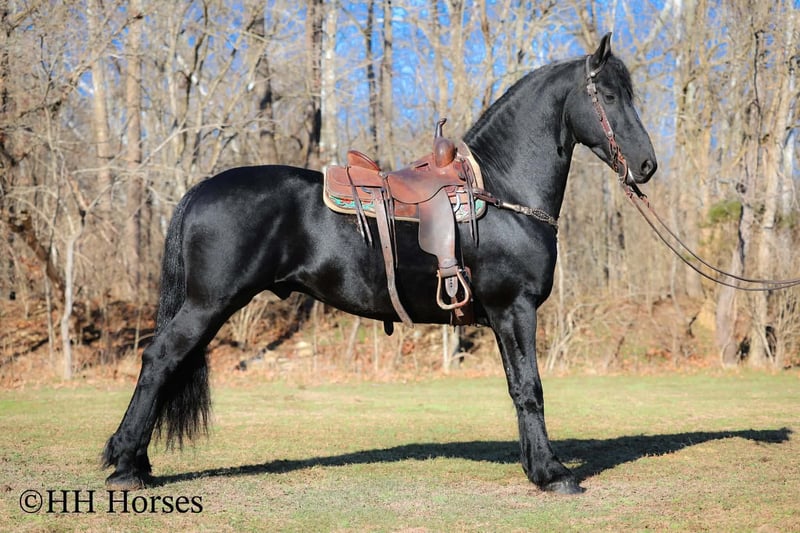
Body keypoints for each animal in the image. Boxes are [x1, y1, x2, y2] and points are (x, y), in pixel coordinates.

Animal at [102, 33, 657, 495]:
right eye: (609, 97)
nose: (647, 165)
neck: (499, 190)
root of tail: (201, 188)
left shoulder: (503, 317)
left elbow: (516, 387)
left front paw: (534, 465)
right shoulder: (514, 309)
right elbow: (529, 388)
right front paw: (551, 473)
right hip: (207, 304)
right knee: (160, 361)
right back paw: (126, 465)